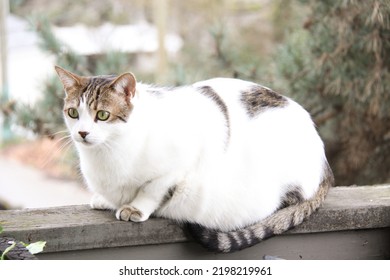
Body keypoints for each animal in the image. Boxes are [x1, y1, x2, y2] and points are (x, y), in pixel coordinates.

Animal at [55, 66, 336, 254]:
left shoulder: (182, 161)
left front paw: (135, 207)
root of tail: (325, 164)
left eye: (102, 115)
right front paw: (106, 200)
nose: (82, 133)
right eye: (73, 113)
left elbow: (153, 188)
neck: (107, 153)